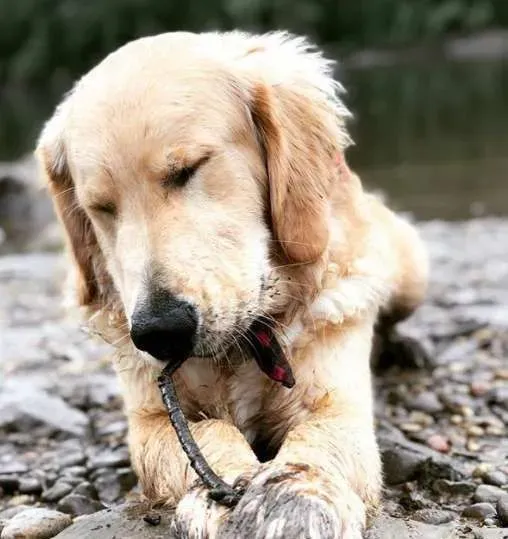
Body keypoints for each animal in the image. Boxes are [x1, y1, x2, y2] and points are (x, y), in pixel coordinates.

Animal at [34, 30, 428, 539]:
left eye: (189, 169)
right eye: (101, 207)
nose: (160, 332)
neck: (241, 352)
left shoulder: (336, 405)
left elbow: (318, 443)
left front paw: (294, 499)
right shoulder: (150, 421)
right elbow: (206, 434)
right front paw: (225, 492)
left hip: (411, 273)